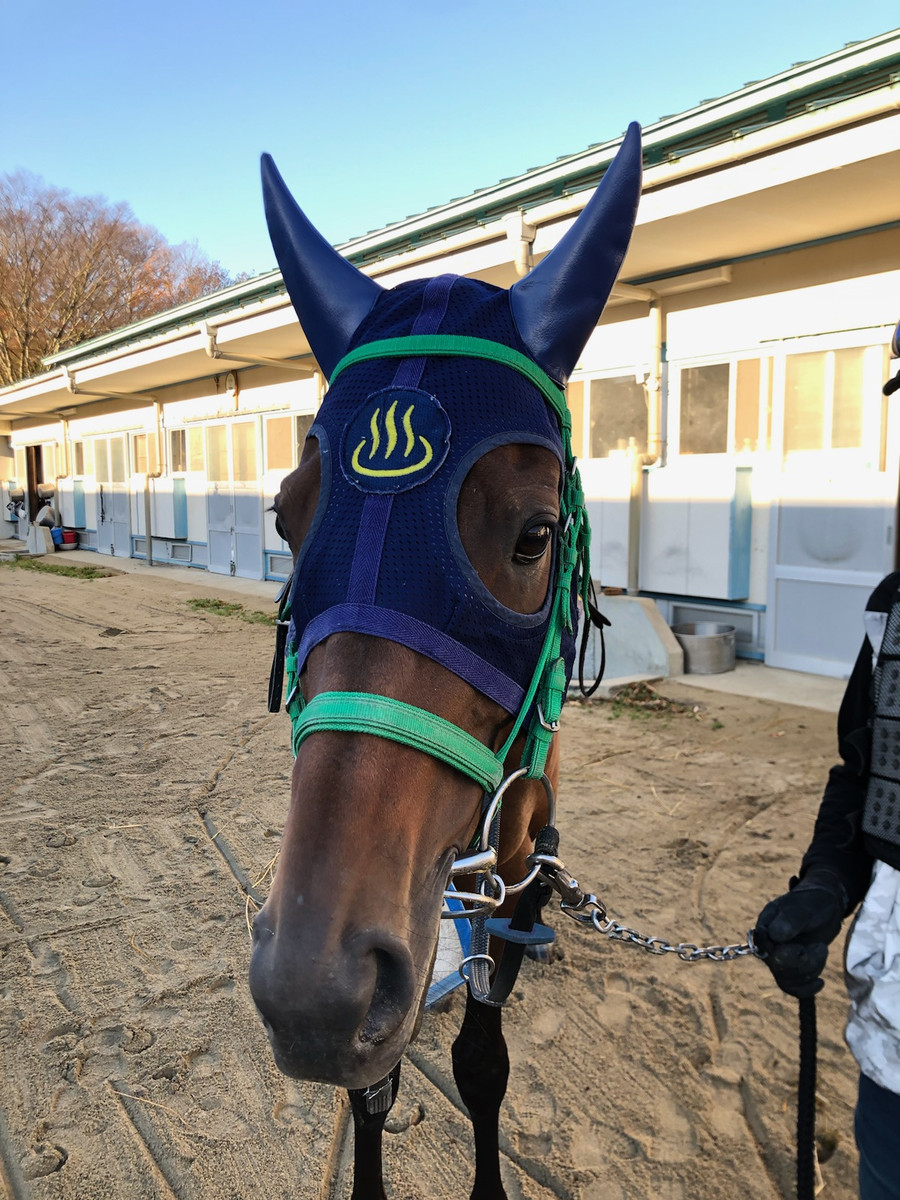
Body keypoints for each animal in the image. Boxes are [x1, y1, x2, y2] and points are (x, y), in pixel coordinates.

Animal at [249, 123, 642, 1199]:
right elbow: (371, 1087)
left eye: (535, 534)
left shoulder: (513, 863)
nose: (312, 990)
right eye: (285, 518)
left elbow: (481, 1060)